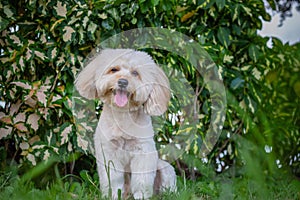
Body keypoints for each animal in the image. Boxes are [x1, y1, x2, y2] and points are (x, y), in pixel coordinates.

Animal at [75, 49, 177, 199]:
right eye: (114, 69)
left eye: (135, 73)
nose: (123, 82)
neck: (122, 116)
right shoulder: (108, 153)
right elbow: (112, 179)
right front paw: (112, 196)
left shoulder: (143, 152)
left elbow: (141, 180)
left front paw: (141, 196)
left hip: (165, 169)